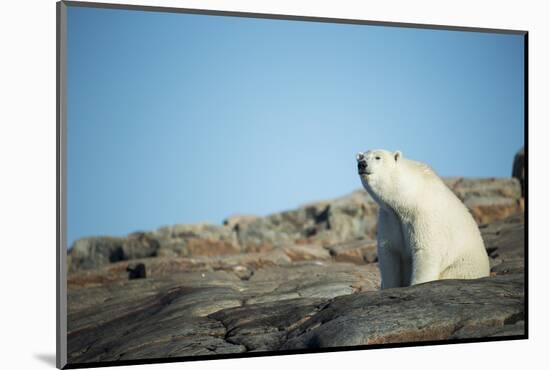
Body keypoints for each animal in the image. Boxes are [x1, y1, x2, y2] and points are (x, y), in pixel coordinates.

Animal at [358, 150, 492, 290]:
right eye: (360, 157)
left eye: (378, 157)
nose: (362, 164)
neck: (409, 197)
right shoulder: (390, 218)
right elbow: (390, 252)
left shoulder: (423, 216)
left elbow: (425, 250)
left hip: (461, 267)